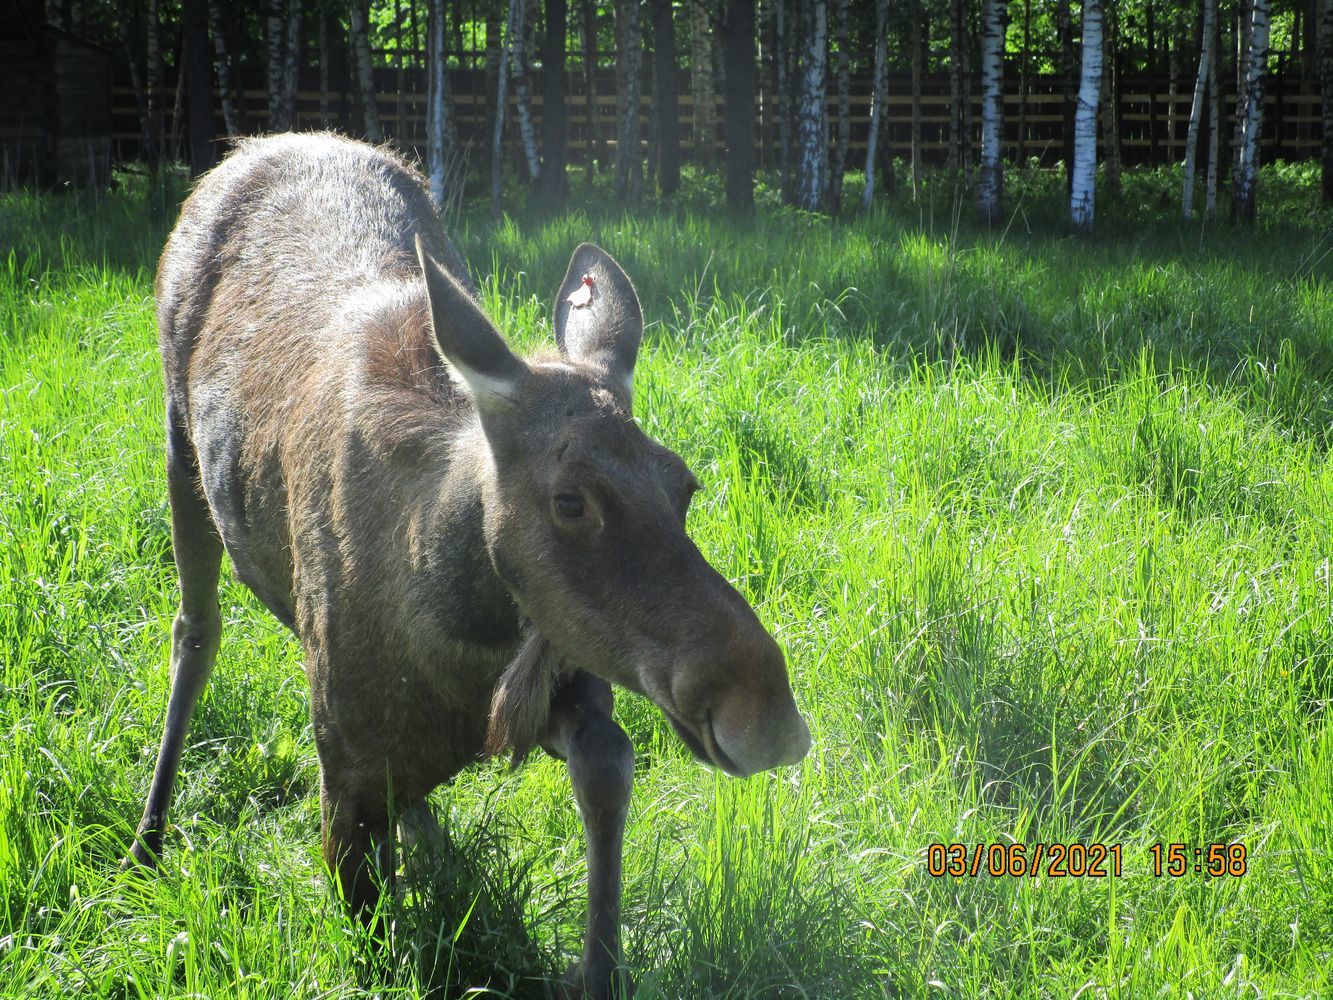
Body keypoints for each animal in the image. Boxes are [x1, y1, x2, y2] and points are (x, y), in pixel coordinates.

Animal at [127, 131, 810, 997]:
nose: (767, 713)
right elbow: (376, 945)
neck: (457, 634)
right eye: (568, 501)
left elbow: (608, 768)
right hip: (179, 450)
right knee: (195, 629)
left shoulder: (563, 660)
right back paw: (147, 837)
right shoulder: (342, 780)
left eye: (683, 484)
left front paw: (598, 967)